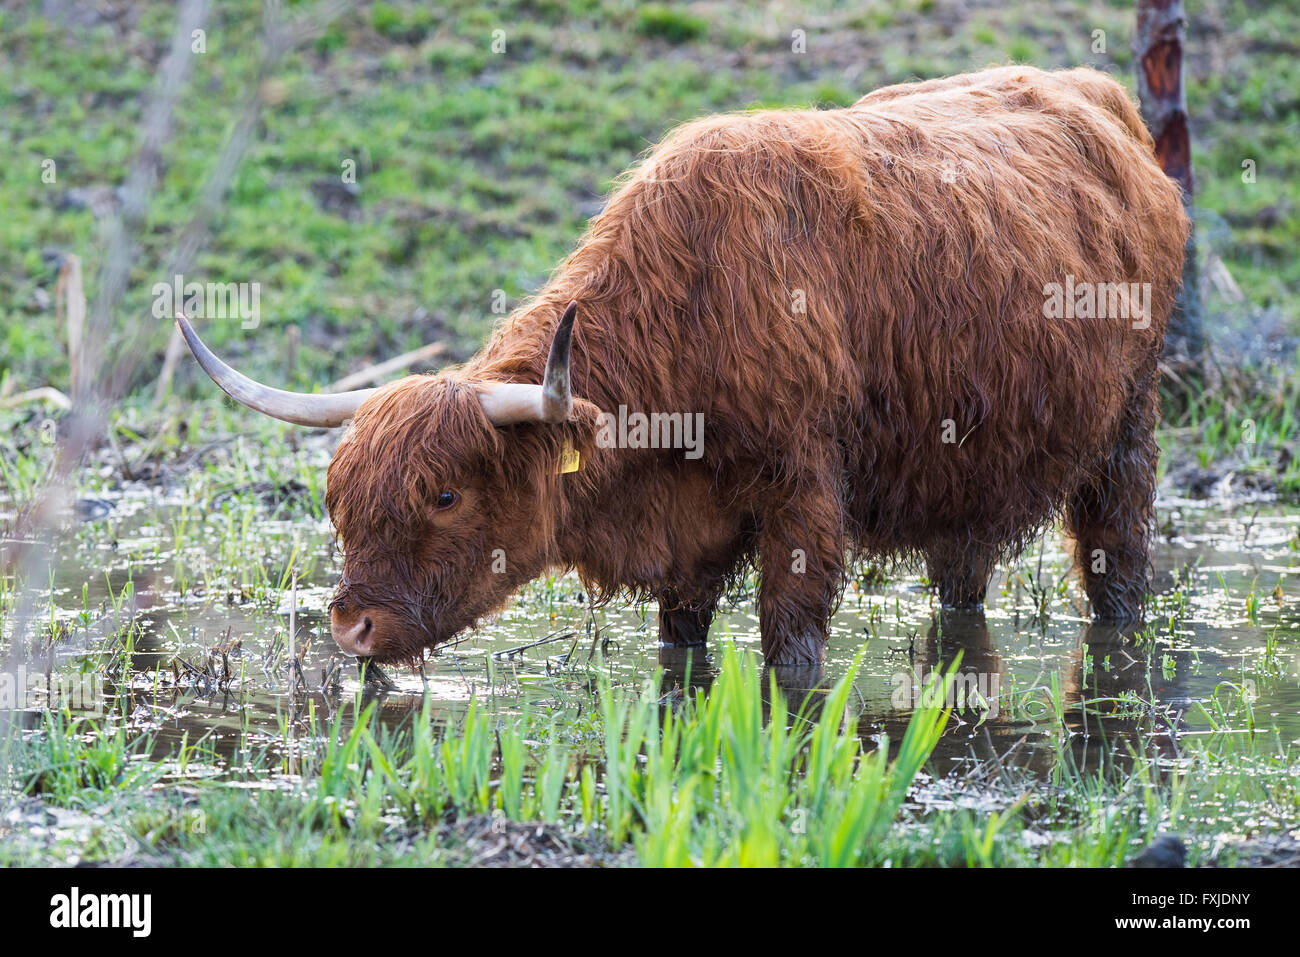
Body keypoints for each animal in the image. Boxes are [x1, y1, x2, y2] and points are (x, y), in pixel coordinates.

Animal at [178, 65, 1188, 666]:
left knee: (1119, 565)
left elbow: (790, 650)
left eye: (445, 495)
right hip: (965, 480)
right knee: (962, 585)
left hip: (1128, 431)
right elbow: (681, 648)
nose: (352, 625)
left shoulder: (803, 495)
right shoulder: (689, 537)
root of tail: (1096, 93)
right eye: (337, 498)